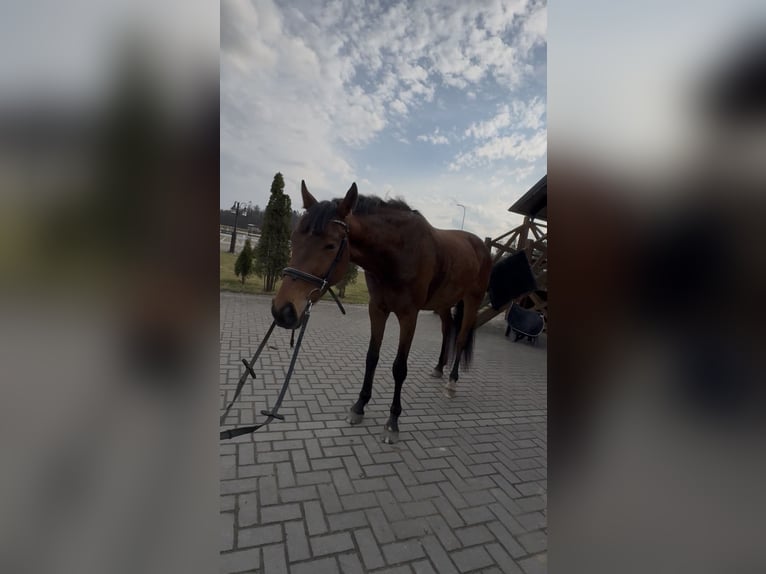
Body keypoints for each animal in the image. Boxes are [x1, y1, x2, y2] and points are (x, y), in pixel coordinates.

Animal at [272, 181, 492, 443]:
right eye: (294, 238)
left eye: (331, 245)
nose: (282, 310)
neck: (398, 253)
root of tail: (481, 245)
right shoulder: (377, 309)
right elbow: (372, 357)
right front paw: (359, 406)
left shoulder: (409, 316)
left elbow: (399, 367)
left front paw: (393, 421)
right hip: (443, 303)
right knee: (447, 330)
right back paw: (439, 368)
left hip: (471, 301)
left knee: (459, 339)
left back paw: (452, 382)